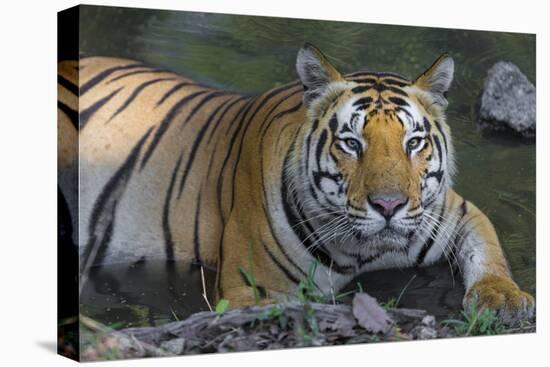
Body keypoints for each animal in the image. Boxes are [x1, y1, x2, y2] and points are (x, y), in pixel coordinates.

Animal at [59, 43, 536, 324]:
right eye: (351, 143)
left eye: (413, 142)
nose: (388, 206)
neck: (365, 252)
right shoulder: (250, 289)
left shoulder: (455, 211)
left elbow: (489, 252)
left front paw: (503, 298)